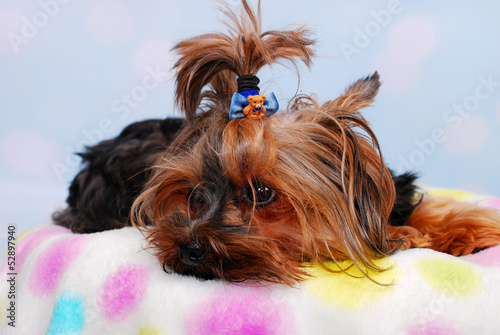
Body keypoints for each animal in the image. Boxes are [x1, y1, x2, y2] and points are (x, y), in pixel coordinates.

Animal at [53, 0, 500, 286]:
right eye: (193, 195)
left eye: (263, 193)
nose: (191, 248)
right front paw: (408, 235)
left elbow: (420, 207)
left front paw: (466, 228)